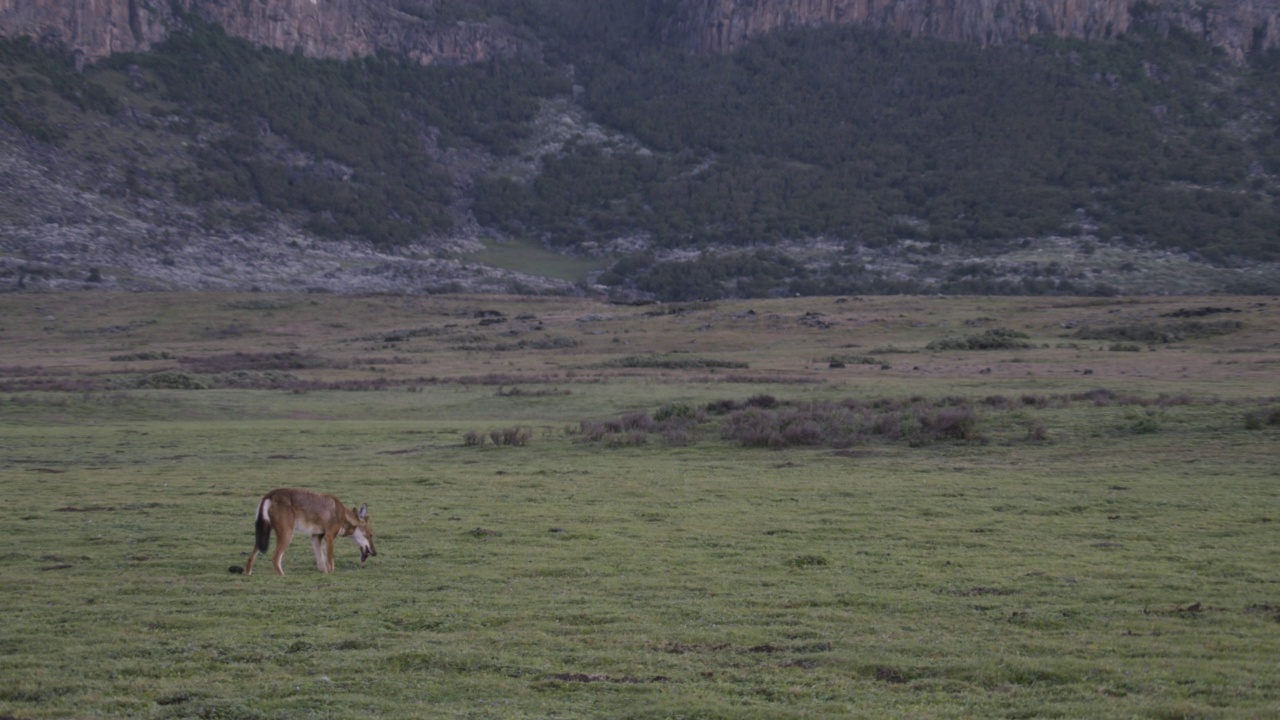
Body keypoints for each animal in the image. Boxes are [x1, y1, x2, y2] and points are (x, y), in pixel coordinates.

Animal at [244, 486, 373, 571]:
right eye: (371, 535)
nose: (375, 553)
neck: (343, 515)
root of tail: (270, 494)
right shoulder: (329, 537)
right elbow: (330, 563)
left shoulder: (316, 537)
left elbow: (322, 563)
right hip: (287, 534)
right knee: (275, 558)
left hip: (263, 535)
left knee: (251, 557)